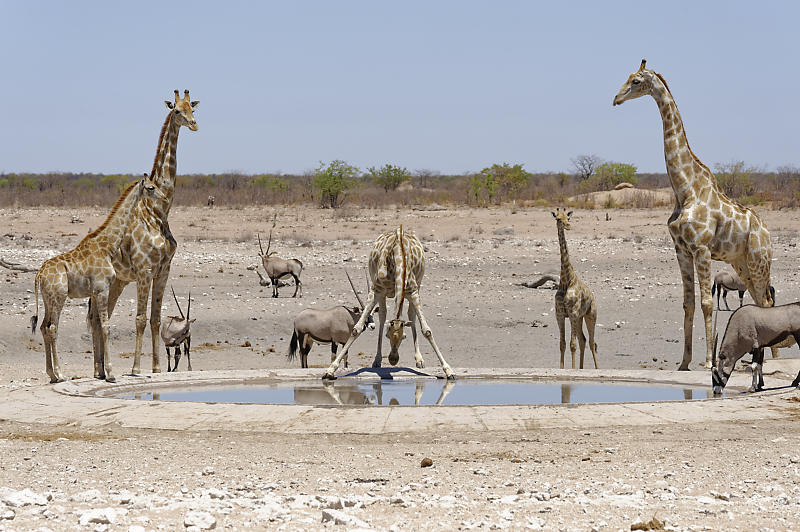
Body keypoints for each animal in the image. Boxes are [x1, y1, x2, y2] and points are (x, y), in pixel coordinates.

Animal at [29, 178, 165, 382]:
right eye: (150, 187)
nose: (163, 196)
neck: (108, 246)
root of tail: (39, 274)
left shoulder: (95, 292)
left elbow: (99, 325)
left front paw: (102, 372)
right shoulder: (102, 289)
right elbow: (106, 326)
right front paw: (110, 373)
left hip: (47, 299)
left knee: (44, 327)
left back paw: (52, 374)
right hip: (58, 297)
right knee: (52, 328)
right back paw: (60, 374)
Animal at [87, 90, 198, 374]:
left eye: (192, 108)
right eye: (177, 111)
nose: (194, 125)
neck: (159, 211)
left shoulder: (163, 270)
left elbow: (156, 319)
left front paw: (156, 368)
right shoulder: (145, 269)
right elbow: (139, 318)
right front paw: (137, 368)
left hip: (118, 281)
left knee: (99, 316)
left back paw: (101, 369)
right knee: (94, 317)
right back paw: (98, 369)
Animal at [320, 227, 456, 380]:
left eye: (404, 336)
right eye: (387, 335)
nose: (393, 360)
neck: (397, 258)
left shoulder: (413, 291)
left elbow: (427, 330)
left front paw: (448, 370)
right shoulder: (376, 291)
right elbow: (357, 329)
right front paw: (330, 370)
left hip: (418, 284)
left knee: (411, 315)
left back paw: (419, 360)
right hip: (384, 294)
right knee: (383, 315)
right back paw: (377, 360)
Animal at [552, 208, 596, 370]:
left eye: (568, 218)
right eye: (558, 218)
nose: (568, 226)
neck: (566, 281)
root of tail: (592, 295)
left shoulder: (572, 313)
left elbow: (572, 344)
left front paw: (571, 369)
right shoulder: (560, 315)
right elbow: (562, 344)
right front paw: (563, 369)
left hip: (591, 315)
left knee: (592, 342)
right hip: (580, 317)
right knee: (583, 340)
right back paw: (581, 369)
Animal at [612, 60, 776, 370]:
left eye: (636, 81)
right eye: (627, 78)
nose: (616, 99)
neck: (685, 188)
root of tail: (767, 232)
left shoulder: (701, 248)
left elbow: (707, 303)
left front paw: (709, 361)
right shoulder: (681, 250)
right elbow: (688, 303)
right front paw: (684, 362)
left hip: (759, 261)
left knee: (767, 302)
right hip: (742, 264)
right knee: (761, 301)